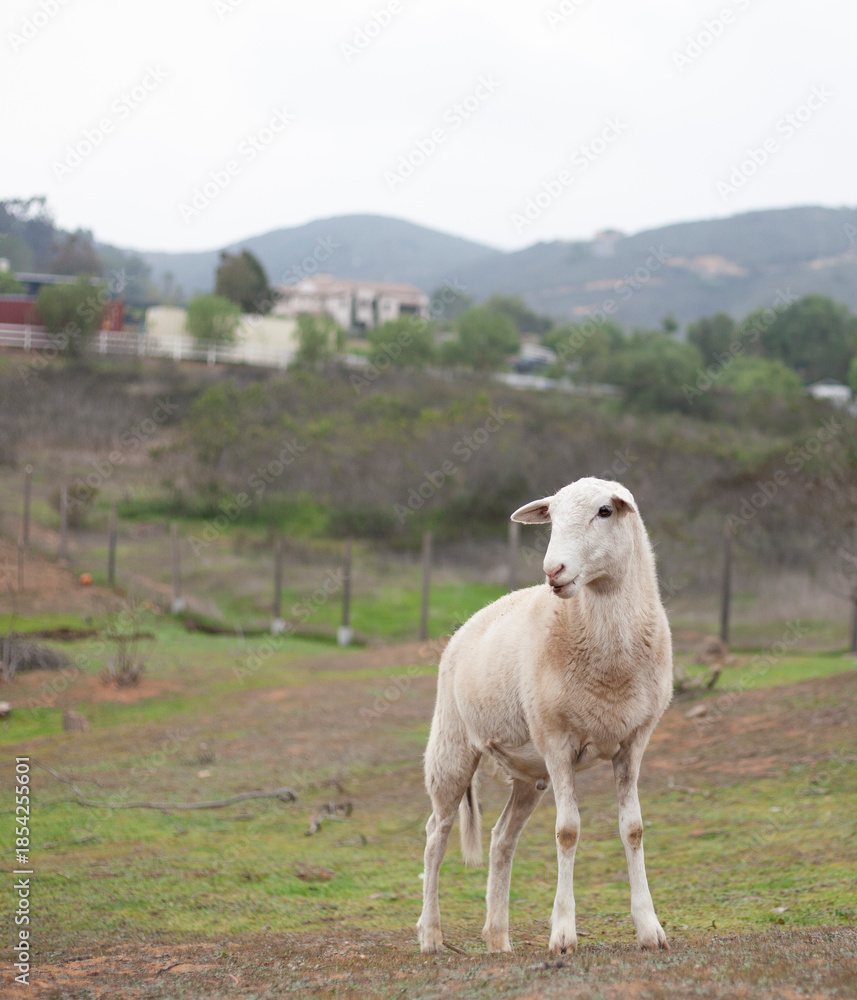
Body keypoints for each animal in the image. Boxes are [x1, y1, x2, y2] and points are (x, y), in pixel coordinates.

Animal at [416, 477, 673, 956]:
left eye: (605, 511)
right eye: (551, 517)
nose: (553, 571)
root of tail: (469, 622)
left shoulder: (634, 739)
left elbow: (633, 829)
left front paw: (650, 929)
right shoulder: (557, 742)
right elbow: (567, 831)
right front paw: (563, 934)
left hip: (528, 773)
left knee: (501, 839)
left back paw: (498, 938)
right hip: (450, 745)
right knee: (435, 834)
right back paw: (431, 934)